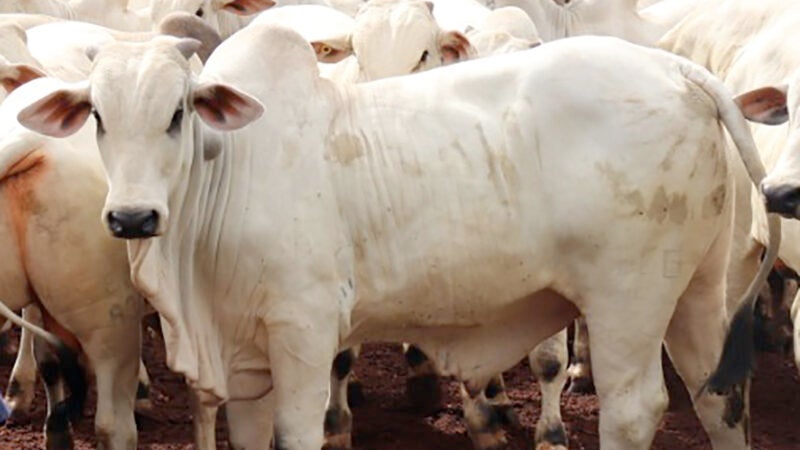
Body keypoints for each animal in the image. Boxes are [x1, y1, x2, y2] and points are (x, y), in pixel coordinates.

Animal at [17, 25, 777, 450]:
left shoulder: (303, 331)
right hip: (696, 291)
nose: (132, 218)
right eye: (97, 116)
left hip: (627, 301)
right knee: (720, 398)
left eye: (178, 112)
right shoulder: (244, 358)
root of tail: (676, 69)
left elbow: (302, 432)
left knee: (634, 411)